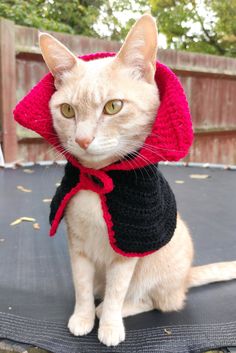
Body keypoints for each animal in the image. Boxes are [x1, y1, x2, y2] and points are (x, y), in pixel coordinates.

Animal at [38, 14, 236, 346]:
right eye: (67, 111)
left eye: (113, 106)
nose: (82, 139)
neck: (98, 179)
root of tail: (185, 279)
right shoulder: (77, 246)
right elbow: (81, 287)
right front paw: (82, 317)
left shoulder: (129, 247)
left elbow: (118, 291)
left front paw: (108, 325)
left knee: (155, 301)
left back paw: (112, 309)